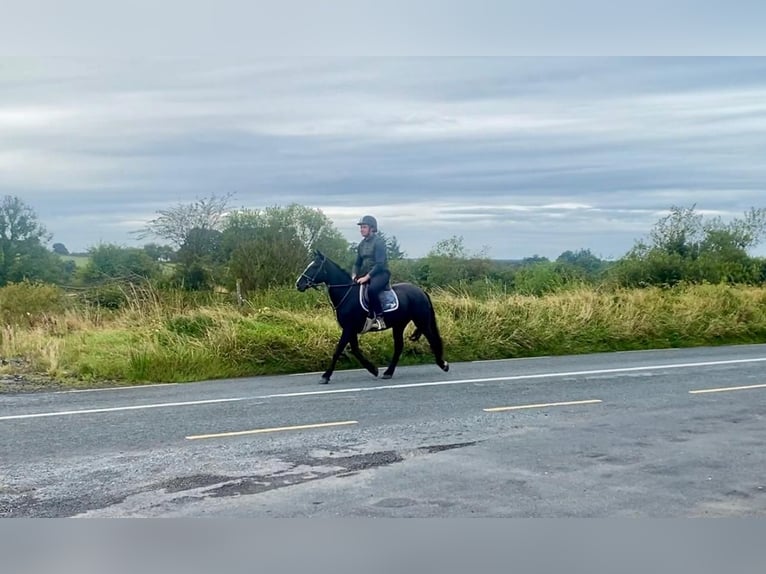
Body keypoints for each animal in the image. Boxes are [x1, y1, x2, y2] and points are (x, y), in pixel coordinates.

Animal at [296, 250, 450, 384]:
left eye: (314, 266)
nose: (299, 284)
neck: (347, 294)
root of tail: (421, 291)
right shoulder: (350, 330)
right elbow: (355, 350)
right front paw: (373, 369)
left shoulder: (349, 328)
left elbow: (338, 350)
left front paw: (325, 376)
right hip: (399, 325)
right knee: (399, 347)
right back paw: (388, 373)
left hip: (421, 321)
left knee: (432, 340)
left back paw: (443, 364)